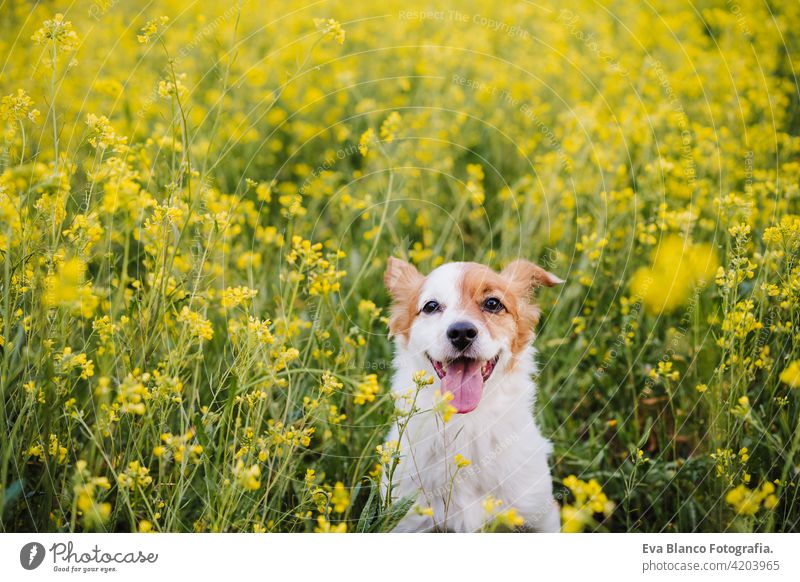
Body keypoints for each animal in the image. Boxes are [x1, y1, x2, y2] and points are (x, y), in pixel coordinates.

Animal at [382, 258, 560, 532]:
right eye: (431, 306)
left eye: (493, 303)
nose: (461, 332)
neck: (467, 423)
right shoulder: (409, 521)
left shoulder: (540, 514)